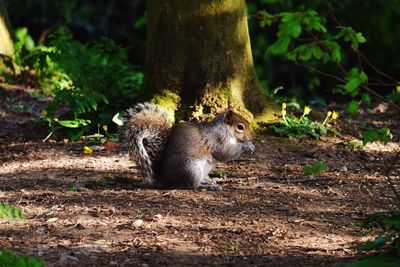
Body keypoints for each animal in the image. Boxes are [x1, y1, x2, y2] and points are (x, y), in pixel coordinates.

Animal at [120, 101, 255, 192]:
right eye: (240, 127)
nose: (250, 137)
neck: (225, 129)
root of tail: (165, 179)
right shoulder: (217, 139)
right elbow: (225, 152)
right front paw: (247, 146)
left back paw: (210, 181)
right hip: (191, 169)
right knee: (190, 185)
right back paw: (208, 186)